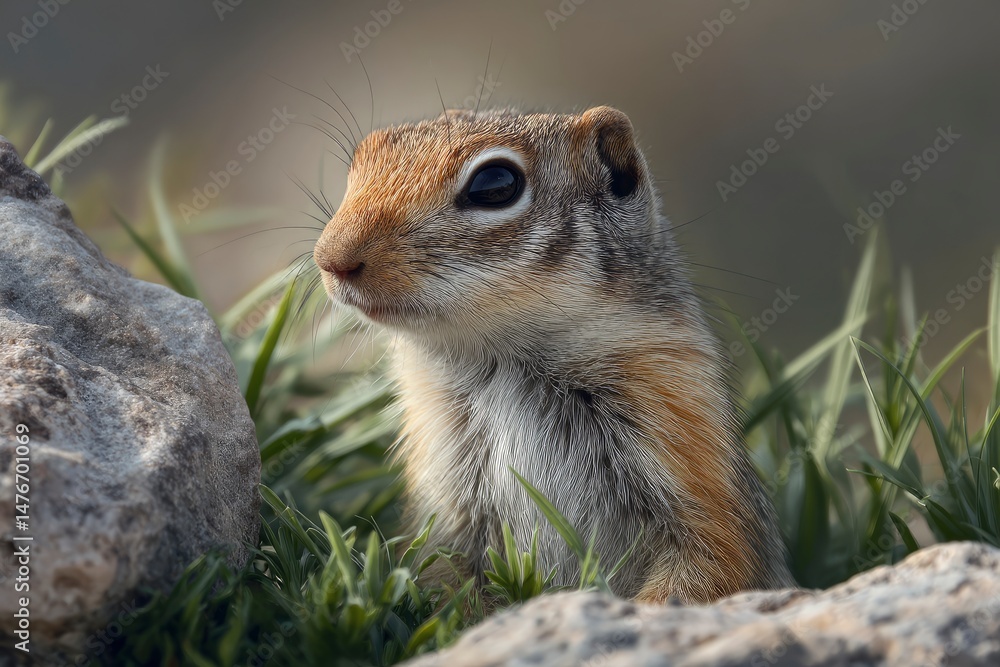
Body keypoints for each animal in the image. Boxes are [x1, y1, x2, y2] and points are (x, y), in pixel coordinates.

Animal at [313, 106, 794, 603]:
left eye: (495, 184)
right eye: (361, 159)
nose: (330, 259)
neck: (500, 362)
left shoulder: (693, 456)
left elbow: (708, 564)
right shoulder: (442, 503)